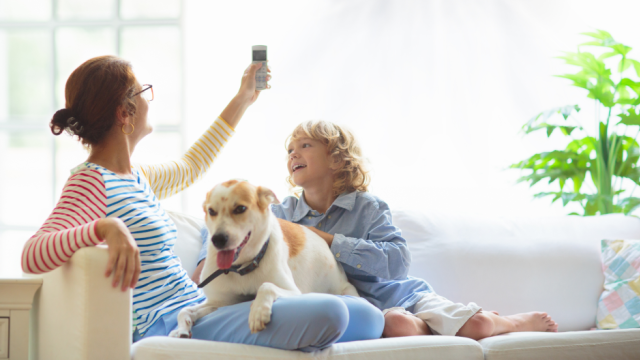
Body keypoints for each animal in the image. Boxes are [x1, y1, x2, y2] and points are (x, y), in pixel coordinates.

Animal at [169, 180, 360, 338]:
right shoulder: (223, 302)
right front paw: (181, 329)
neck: (242, 268)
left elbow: (266, 286)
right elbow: (184, 310)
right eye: (211, 211)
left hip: (348, 291)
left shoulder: (293, 291)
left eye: (240, 209)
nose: (218, 239)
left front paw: (258, 312)